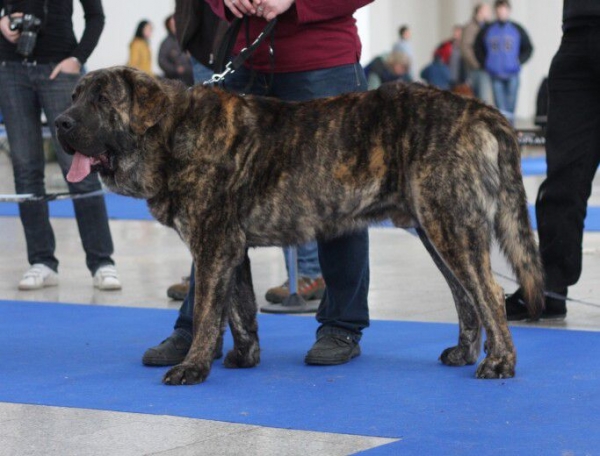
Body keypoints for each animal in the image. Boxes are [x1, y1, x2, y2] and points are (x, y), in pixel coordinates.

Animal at [56, 65, 544, 384]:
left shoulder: (213, 245)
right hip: (435, 228)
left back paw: (500, 363)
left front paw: (193, 367)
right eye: (75, 95)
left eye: (102, 99)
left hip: (450, 225)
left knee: (489, 292)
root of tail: (478, 109)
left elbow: (209, 312)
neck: (170, 132)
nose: (60, 122)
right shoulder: (231, 248)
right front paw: (243, 358)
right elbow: (240, 309)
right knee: (465, 295)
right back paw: (466, 352)